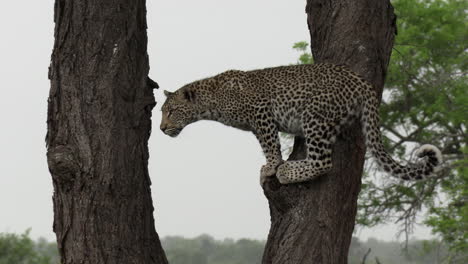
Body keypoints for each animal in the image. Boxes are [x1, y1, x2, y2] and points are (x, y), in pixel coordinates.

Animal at [159, 63, 440, 186]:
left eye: (171, 111)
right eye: (163, 112)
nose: (161, 128)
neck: (211, 102)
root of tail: (361, 82)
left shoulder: (261, 111)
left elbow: (270, 144)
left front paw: (272, 166)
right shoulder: (257, 122)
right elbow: (267, 143)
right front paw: (270, 165)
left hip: (315, 117)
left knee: (323, 162)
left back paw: (288, 171)